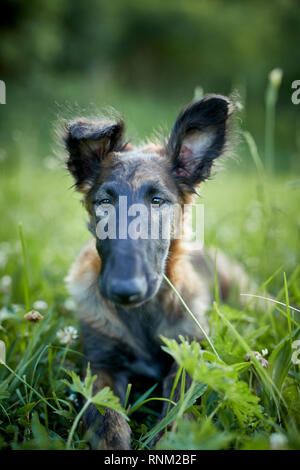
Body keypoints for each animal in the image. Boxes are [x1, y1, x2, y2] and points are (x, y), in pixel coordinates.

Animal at [62, 93, 248, 450]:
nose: (124, 290)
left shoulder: (189, 350)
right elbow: (104, 417)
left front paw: (167, 440)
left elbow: (178, 405)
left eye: (158, 201)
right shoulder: (100, 362)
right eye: (104, 201)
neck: (144, 314)